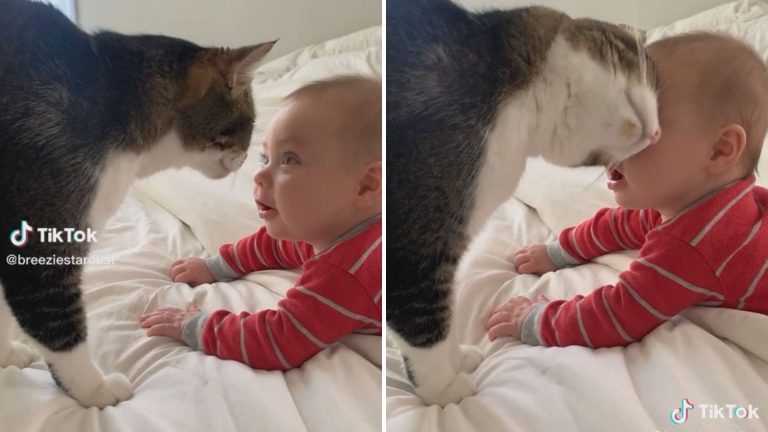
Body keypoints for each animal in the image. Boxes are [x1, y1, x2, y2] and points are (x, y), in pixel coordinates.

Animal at [0, 0, 276, 406]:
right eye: (251, 122)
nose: (247, 159)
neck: (111, 94)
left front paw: (5, 353)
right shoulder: (42, 237)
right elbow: (57, 321)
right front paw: (93, 389)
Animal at [388, 0, 664, 404]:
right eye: (650, 77)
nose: (657, 133)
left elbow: (447, 308)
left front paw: (458, 357)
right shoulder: (414, 248)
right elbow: (425, 321)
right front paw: (442, 389)